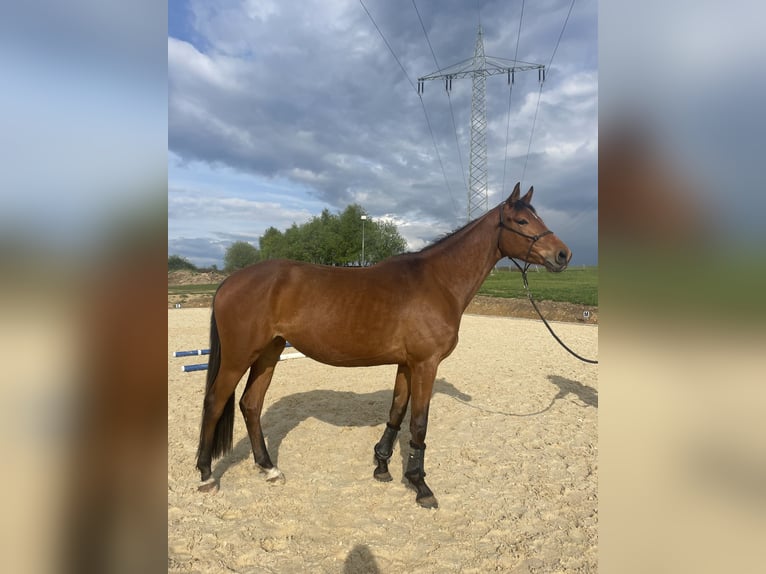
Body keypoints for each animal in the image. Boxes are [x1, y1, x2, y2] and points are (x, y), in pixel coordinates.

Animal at [196, 182, 572, 508]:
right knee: (215, 402)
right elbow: (418, 422)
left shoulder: (406, 364)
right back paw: (205, 474)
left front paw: (381, 466)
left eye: (538, 216)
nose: (563, 254)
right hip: (238, 357)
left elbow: (396, 412)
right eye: (522, 221)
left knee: (250, 404)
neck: (438, 281)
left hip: (269, 354)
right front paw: (420, 485)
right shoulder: (426, 364)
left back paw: (269, 468)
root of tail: (230, 280)